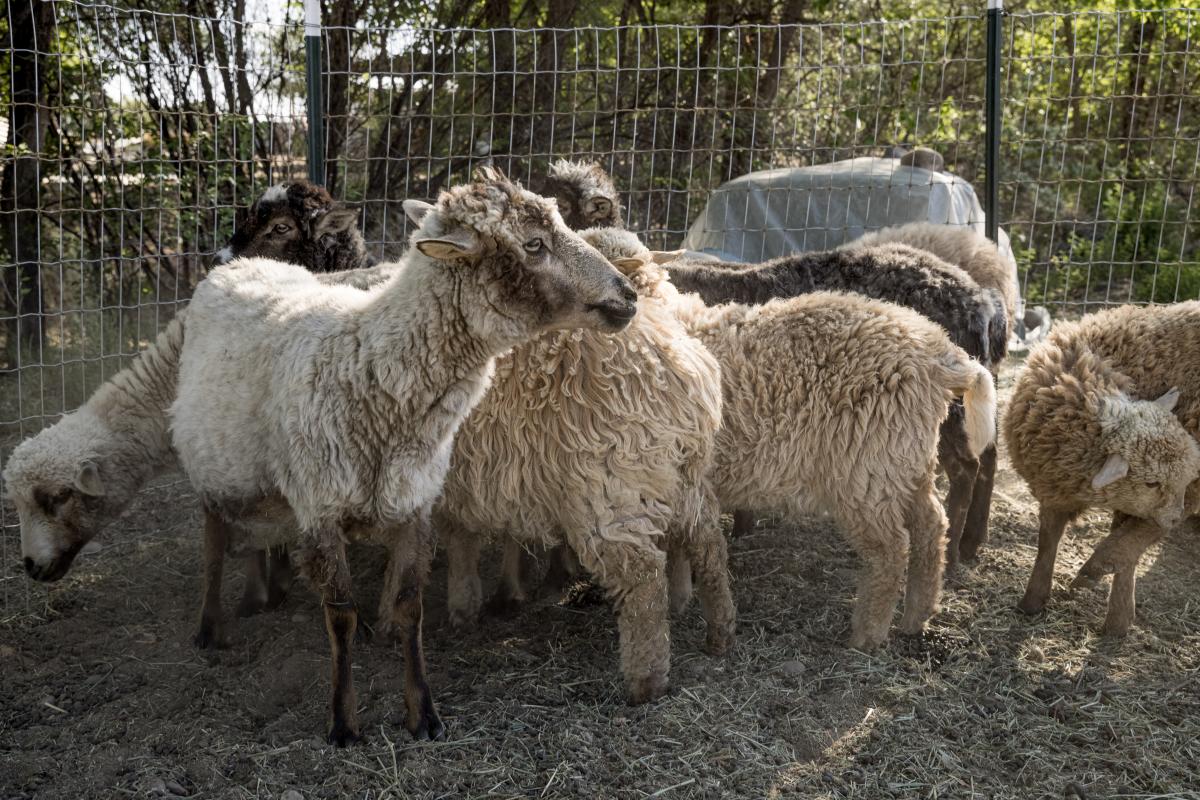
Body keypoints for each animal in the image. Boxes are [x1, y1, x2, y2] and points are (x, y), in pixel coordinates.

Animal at [168, 165, 643, 748]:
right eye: (533, 244)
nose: (627, 295)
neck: (367, 365)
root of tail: (241, 266)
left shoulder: (414, 501)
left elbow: (410, 607)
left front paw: (423, 714)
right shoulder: (322, 506)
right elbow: (340, 616)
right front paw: (343, 722)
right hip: (211, 461)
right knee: (213, 544)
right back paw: (209, 626)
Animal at [1003, 302, 1200, 638]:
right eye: (1151, 483)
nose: (1176, 518)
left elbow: (1131, 539)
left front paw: (1097, 581)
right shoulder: (1055, 487)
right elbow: (1047, 540)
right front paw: (1033, 601)